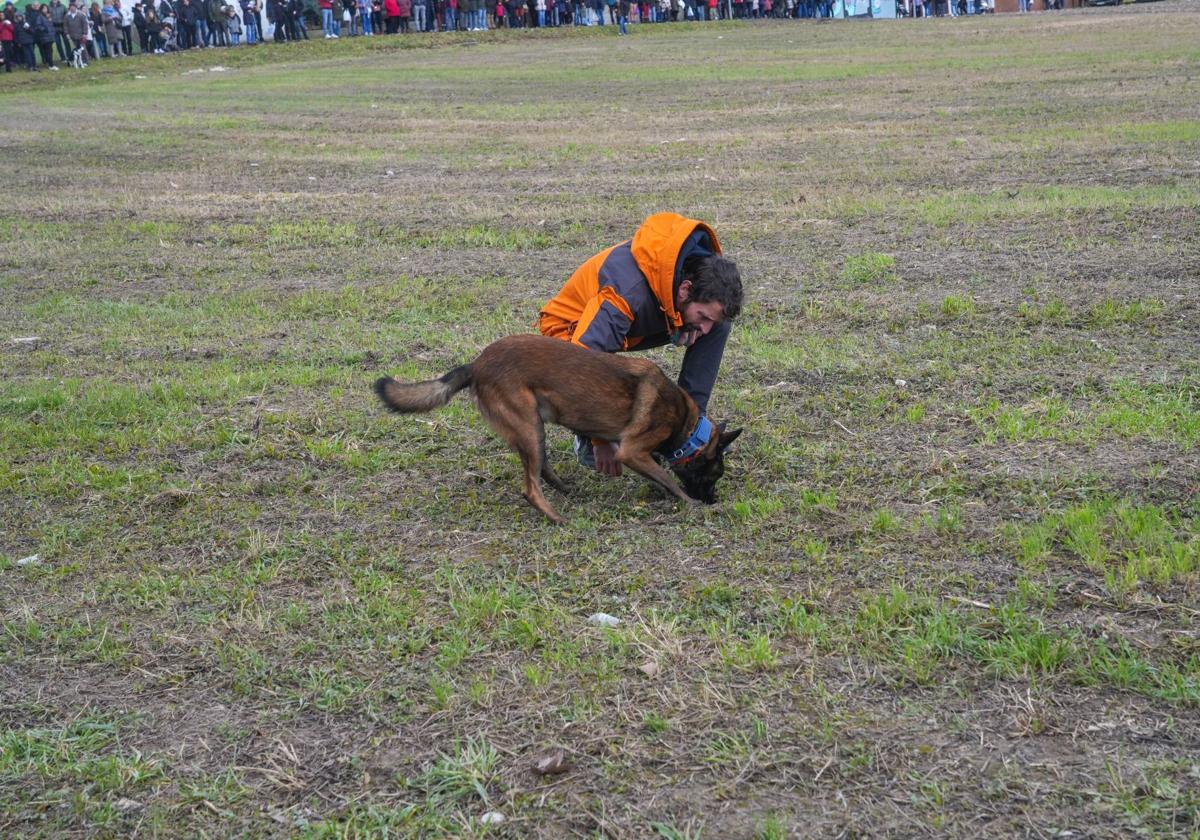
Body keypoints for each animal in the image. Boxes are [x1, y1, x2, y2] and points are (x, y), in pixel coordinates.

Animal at [372, 333, 739, 525]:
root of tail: (476, 364)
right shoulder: (632, 451)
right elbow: (665, 476)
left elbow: (660, 474)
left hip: (534, 427)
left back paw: (565, 491)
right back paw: (557, 517)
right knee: (530, 488)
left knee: (541, 469)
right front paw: (687, 502)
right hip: (528, 425)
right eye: (715, 474)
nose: (712, 499)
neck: (687, 428)